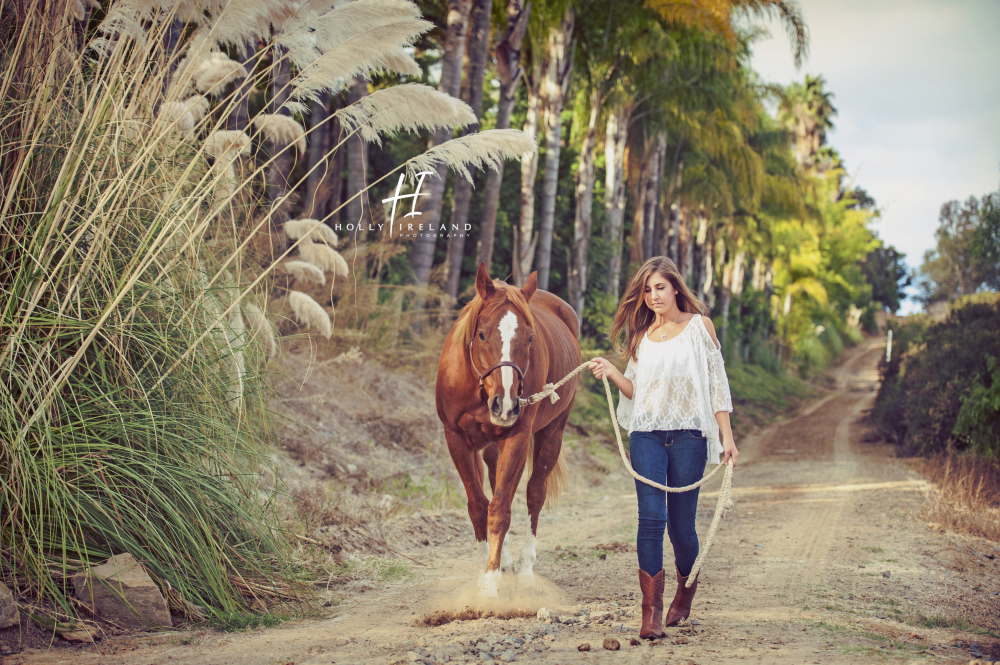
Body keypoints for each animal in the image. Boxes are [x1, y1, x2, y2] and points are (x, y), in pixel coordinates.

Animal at [434, 260, 584, 596]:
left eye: (529, 338)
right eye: (482, 334)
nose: (505, 404)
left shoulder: (517, 437)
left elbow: (500, 509)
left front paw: (489, 586)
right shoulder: (456, 438)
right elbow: (479, 506)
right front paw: (489, 569)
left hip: (551, 433)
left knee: (534, 493)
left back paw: (526, 569)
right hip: (491, 447)